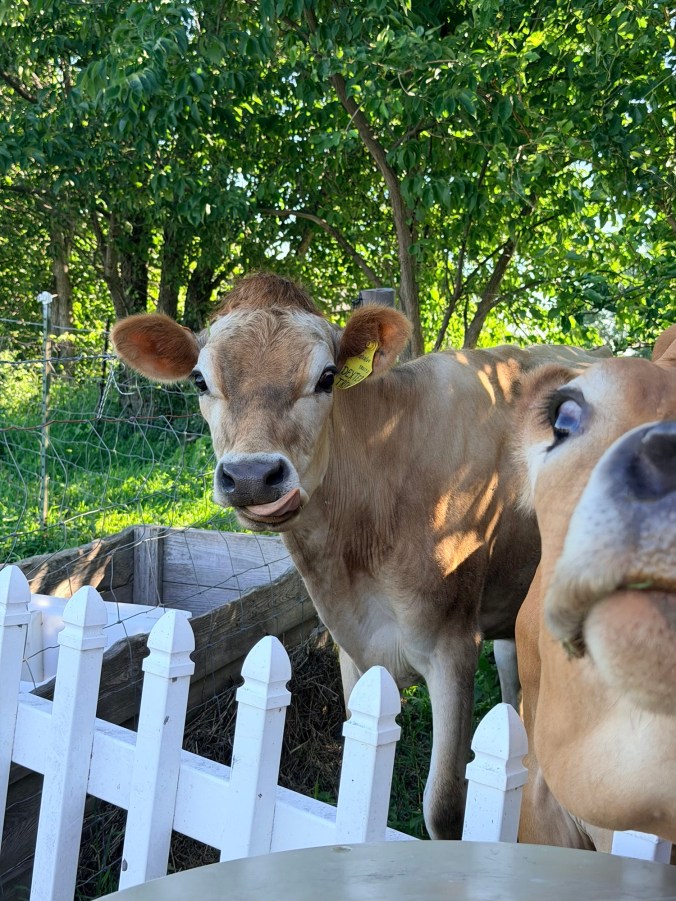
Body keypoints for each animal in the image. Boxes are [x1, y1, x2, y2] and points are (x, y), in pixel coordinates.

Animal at [111, 271, 606, 839]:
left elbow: (444, 807)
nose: (253, 476)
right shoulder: (353, 648)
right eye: (199, 380)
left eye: (327, 376)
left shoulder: (452, 644)